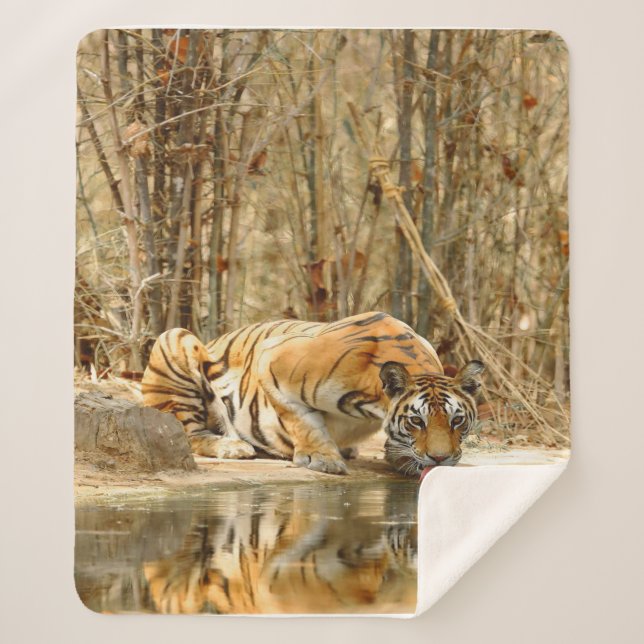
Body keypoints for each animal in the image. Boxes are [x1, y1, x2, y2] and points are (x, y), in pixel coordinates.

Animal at [142, 311, 484, 476]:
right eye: (417, 421)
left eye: (456, 421)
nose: (440, 459)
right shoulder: (271, 360)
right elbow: (301, 419)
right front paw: (322, 459)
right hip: (175, 340)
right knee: (188, 433)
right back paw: (232, 446)